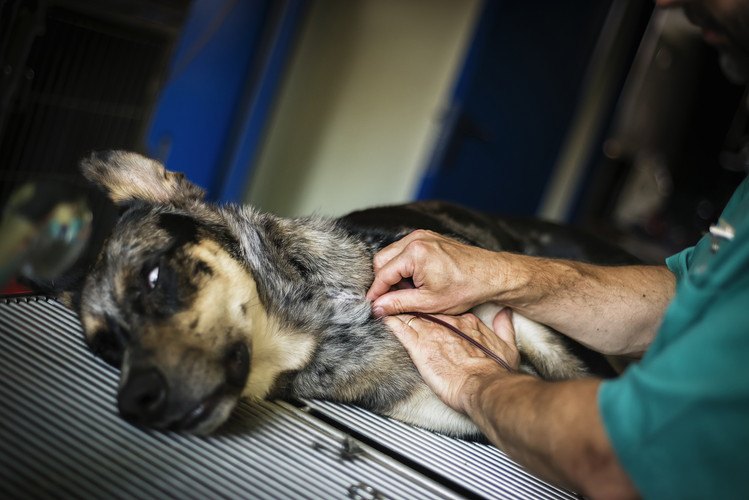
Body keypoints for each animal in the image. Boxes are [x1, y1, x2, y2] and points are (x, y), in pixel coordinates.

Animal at [64, 151, 636, 438]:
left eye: (155, 277)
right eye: (108, 348)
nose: (135, 402)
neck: (326, 326)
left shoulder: (535, 332)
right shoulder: (457, 406)